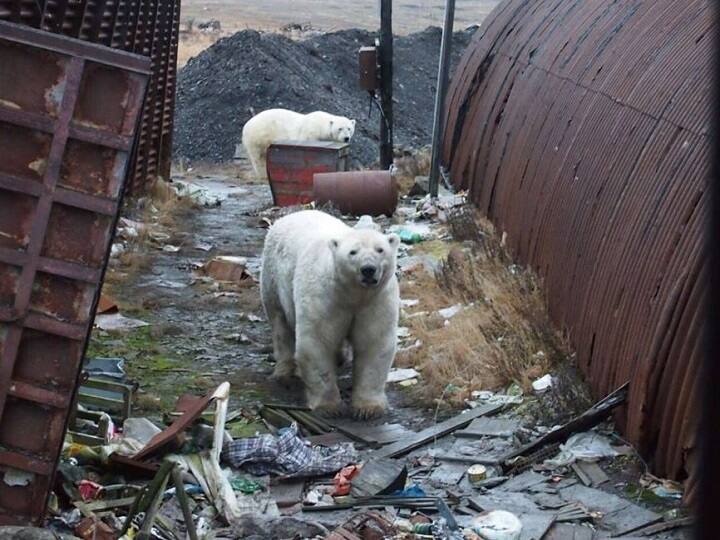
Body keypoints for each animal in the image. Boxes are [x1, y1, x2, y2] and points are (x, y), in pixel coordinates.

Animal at [260, 210, 400, 419]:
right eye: (353, 252)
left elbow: (374, 343)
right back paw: (284, 373)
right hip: (273, 278)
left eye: (380, 249)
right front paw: (329, 407)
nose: (368, 269)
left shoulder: (376, 301)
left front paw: (368, 408)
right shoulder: (324, 297)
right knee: (280, 323)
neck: (352, 294)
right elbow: (318, 342)